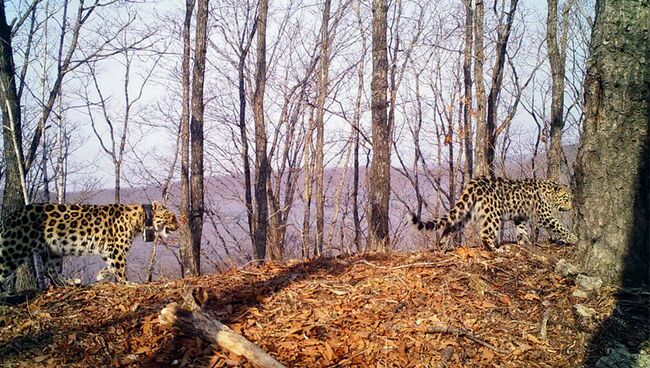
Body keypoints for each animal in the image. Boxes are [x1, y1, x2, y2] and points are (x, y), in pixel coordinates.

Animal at [0, 200, 178, 286]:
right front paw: (127, 282)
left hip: (53, 250)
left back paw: (71, 282)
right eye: (172, 217)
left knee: (51, 271)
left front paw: (101, 274)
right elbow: (121, 268)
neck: (141, 218)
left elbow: (111, 266)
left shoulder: (108, 250)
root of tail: (12, 215)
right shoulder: (117, 249)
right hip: (14, 249)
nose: (178, 226)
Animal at [410, 175, 576, 250]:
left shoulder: (520, 216)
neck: (549, 191)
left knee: (450, 225)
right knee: (485, 233)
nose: (571, 208)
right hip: (493, 214)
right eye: (566, 199)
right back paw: (497, 250)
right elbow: (559, 227)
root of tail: (475, 182)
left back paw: (442, 246)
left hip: (468, 212)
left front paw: (524, 243)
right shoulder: (544, 215)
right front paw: (574, 238)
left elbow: (522, 230)